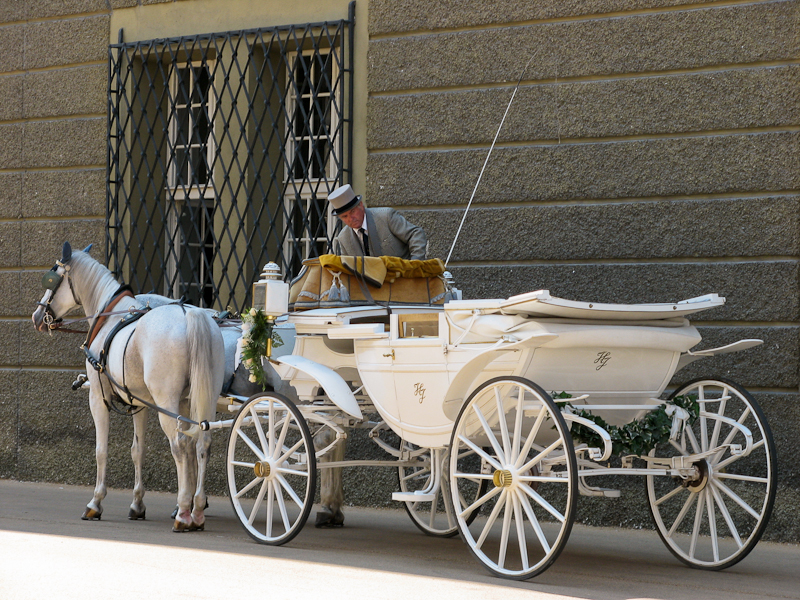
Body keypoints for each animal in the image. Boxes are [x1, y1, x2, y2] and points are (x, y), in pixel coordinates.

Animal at [31, 241, 225, 532]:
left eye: (53, 277)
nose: (37, 315)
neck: (109, 317)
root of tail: (190, 313)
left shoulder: (97, 398)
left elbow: (101, 451)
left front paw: (96, 502)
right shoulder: (139, 404)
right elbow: (138, 451)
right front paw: (137, 503)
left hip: (168, 402)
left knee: (180, 445)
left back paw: (183, 512)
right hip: (201, 399)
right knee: (202, 443)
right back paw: (198, 508)